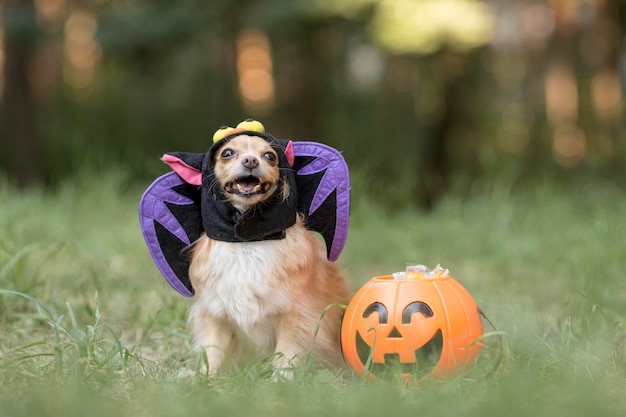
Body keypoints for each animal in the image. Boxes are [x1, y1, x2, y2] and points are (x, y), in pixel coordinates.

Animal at [185, 135, 352, 376]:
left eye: (269, 156)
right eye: (227, 153)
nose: (251, 161)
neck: (249, 240)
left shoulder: (295, 315)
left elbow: (286, 352)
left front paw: (281, 379)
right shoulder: (216, 313)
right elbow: (213, 350)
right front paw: (205, 377)